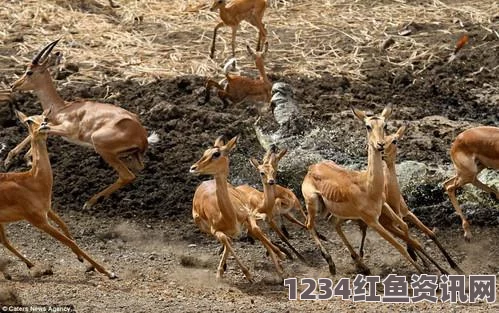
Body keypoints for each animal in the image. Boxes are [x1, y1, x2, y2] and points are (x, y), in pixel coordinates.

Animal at [0, 109, 115, 278]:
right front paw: (108, 271)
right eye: (29, 121)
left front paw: (83, 261)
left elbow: (65, 227)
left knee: (4, 241)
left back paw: (27, 266)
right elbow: (68, 241)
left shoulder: (47, 209)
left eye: (45, 117)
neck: (32, 182)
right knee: (4, 241)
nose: (43, 125)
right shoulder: (39, 220)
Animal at [8, 39, 159, 210]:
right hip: (128, 155)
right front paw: (17, 158)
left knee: (127, 175)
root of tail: (142, 137)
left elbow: (41, 128)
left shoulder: (67, 129)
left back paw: (89, 202)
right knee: (137, 169)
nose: (13, 85)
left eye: (29, 72)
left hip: (100, 145)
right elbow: (39, 127)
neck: (62, 107)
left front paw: (19, 158)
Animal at [190, 136, 288, 280]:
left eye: (216, 153)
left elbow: (257, 230)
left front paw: (281, 256)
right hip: (206, 228)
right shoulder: (215, 231)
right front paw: (247, 274)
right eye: (205, 152)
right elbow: (226, 241)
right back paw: (221, 270)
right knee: (228, 241)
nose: (193, 168)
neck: (228, 216)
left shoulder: (248, 215)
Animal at [302, 106, 424, 272]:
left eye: (385, 125)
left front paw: (416, 256)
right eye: (368, 126)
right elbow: (398, 246)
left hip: (338, 213)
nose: (380, 145)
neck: (368, 186)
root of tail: (311, 168)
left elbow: (404, 226)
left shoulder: (382, 208)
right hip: (313, 203)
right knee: (309, 224)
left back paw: (361, 264)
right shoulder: (372, 221)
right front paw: (422, 269)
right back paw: (331, 264)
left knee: (333, 223)